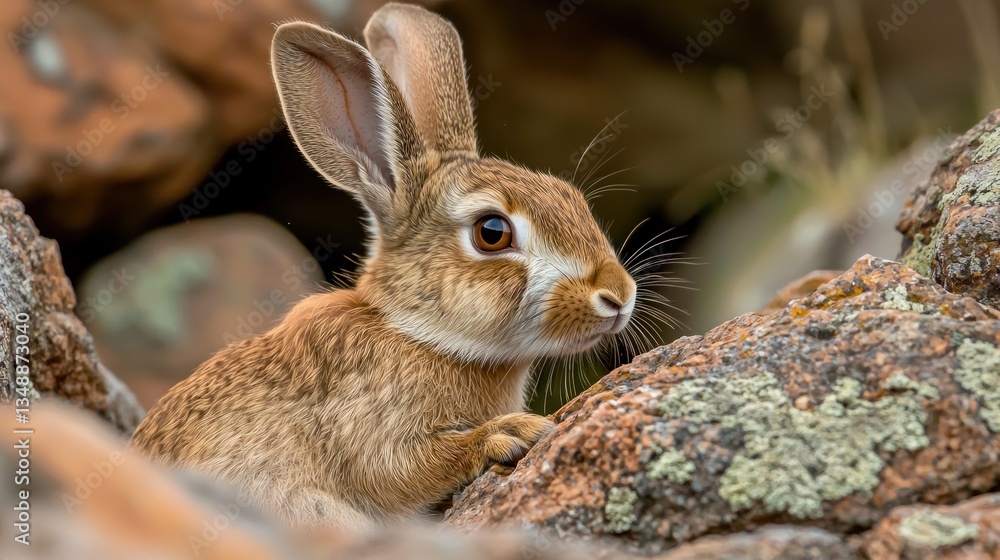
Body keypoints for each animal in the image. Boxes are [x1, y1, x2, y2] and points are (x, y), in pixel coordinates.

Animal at [130, 2, 637, 531]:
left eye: (571, 197)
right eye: (492, 232)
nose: (619, 296)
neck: (418, 335)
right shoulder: (367, 430)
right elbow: (398, 471)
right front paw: (512, 433)